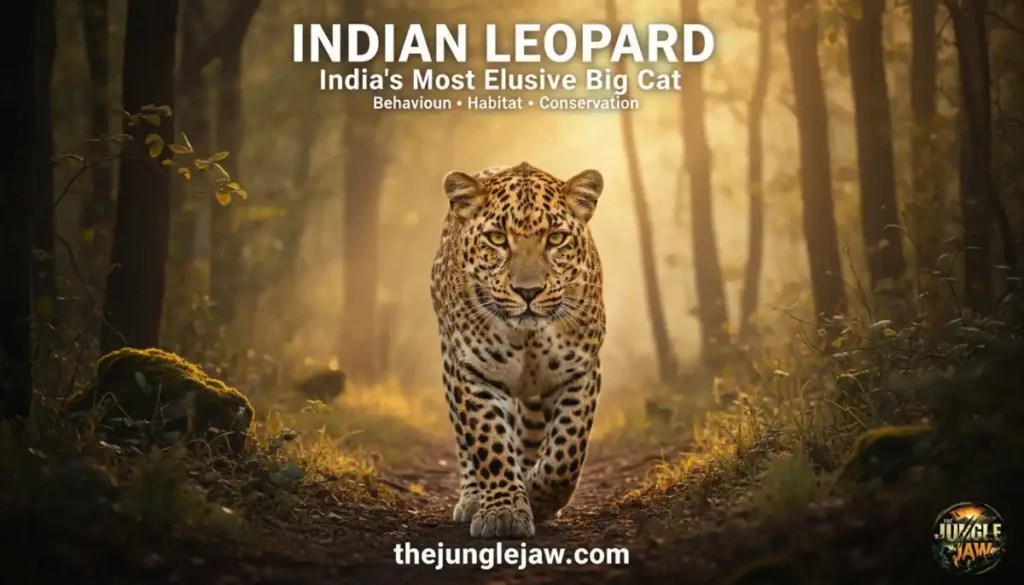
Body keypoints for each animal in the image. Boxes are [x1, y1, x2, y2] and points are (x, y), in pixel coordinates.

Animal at [429, 161, 607, 539]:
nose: (528, 291)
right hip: (450, 366)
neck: (529, 338)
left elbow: (567, 450)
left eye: (556, 239)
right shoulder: (475, 372)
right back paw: (473, 498)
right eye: (497, 238)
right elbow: (490, 443)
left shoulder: (580, 371)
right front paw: (504, 511)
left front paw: (537, 496)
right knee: (466, 444)